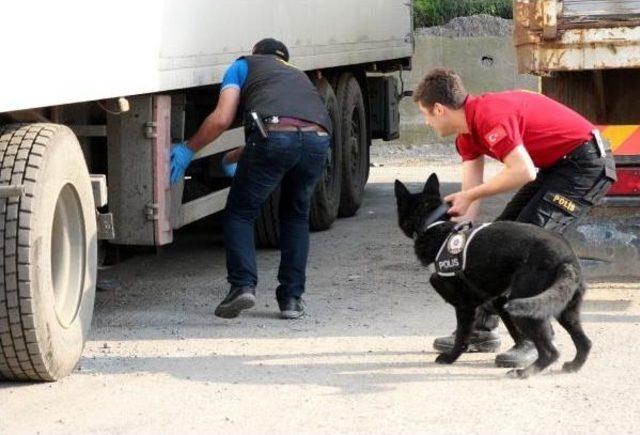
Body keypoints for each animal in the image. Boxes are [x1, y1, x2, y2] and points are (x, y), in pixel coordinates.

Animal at [392, 174, 592, 378]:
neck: (433, 225)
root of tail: (567, 259)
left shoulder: (465, 306)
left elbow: (462, 337)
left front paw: (450, 358)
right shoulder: (494, 300)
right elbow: (509, 330)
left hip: (526, 309)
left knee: (551, 352)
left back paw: (524, 372)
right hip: (564, 311)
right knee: (584, 342)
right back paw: (574, 365)